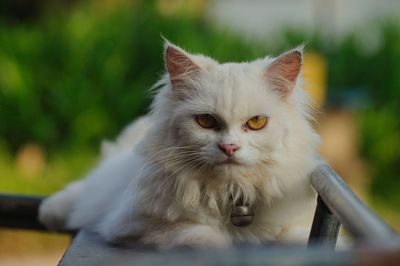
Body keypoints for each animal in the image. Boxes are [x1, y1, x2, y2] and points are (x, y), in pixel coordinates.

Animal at [39, 40, 320, 248]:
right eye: (206, 121)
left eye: (257, 122)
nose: (230, 148)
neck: (229, 195)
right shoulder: (135, 225)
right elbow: (201, 238)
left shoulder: (295, 224)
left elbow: (296, 238)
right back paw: (49, 213)